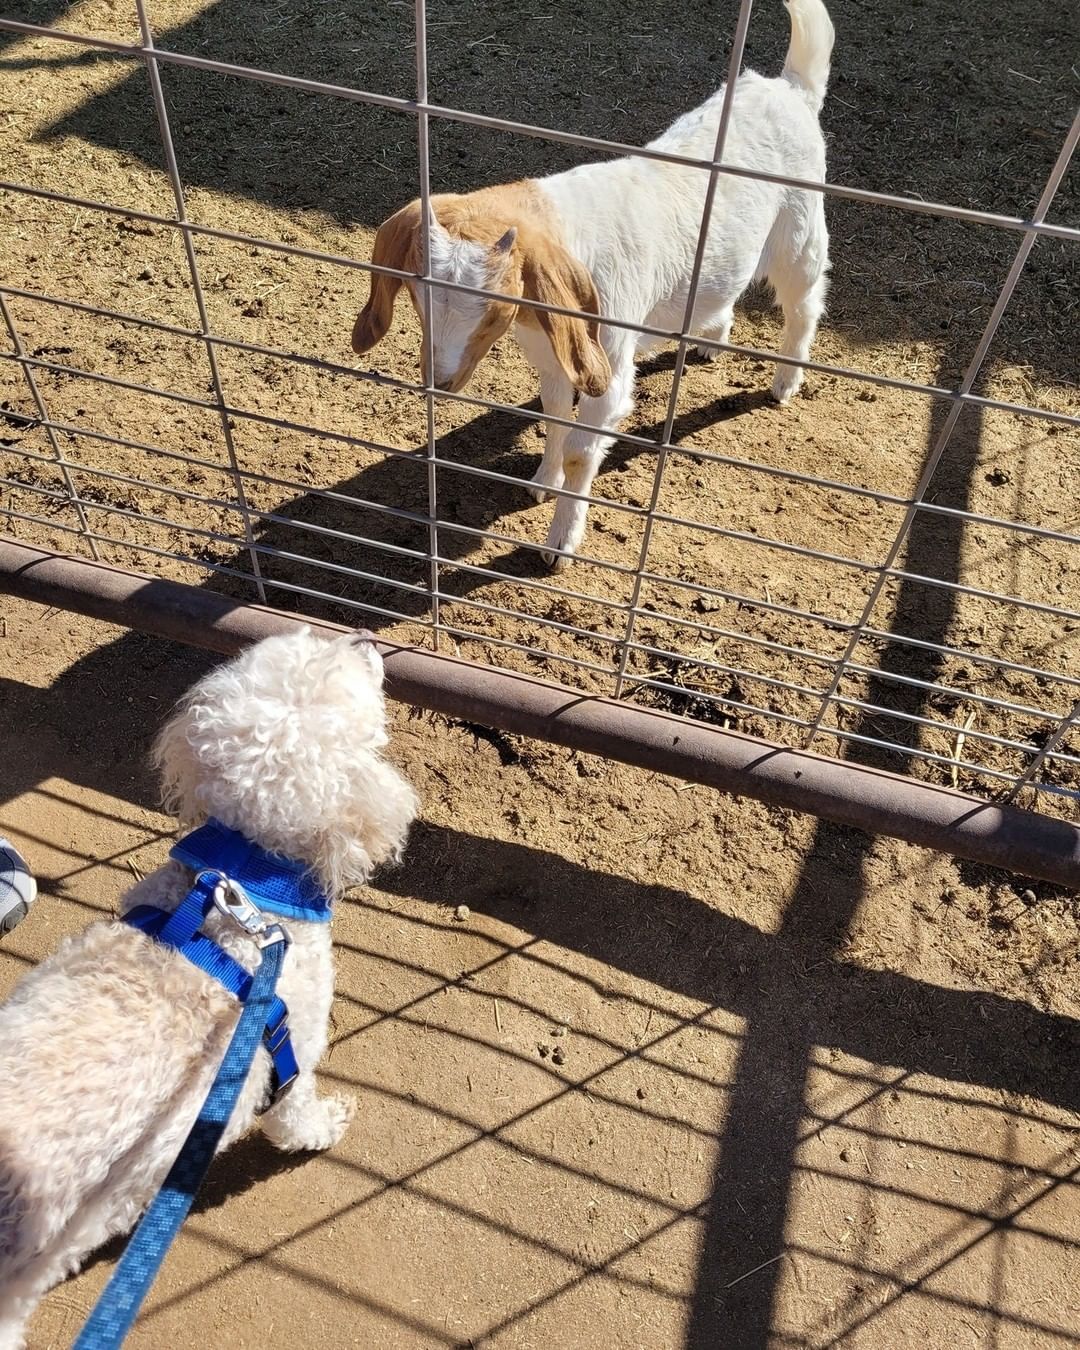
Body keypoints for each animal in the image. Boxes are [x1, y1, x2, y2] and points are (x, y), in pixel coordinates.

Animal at [0, 626, 418, 1344]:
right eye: (342, 665)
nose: (366, 634)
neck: (242, 886)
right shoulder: (287, 1056)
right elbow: (295, 1119)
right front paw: (326, 1127)